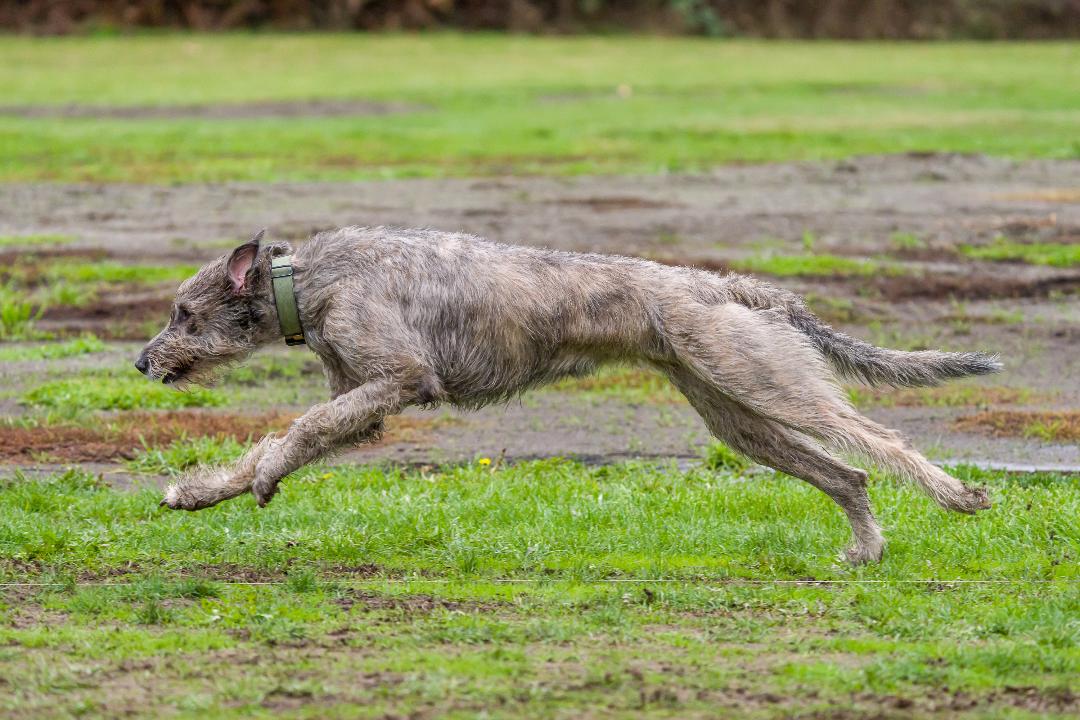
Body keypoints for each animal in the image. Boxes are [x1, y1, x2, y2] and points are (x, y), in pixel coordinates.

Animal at [139, 227, 997, 565]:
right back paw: (866, 547)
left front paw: (257, 475)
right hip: (735, 414)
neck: (305, 280)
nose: (142, 361)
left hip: (768, 384)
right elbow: (307, 432)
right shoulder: (369, 400)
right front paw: (202, 490)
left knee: (875, 441)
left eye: (182, 313)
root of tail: (720, 286)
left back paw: (956, 495)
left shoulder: (399, 378)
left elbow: (299, 430)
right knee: (846, 472)